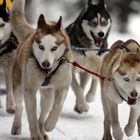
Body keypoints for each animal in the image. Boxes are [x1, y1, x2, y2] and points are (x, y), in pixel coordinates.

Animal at [10, 0, 71, 140]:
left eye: (54, 48)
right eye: (41, 46)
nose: (45, 64)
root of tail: (30, 33)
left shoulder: (63, 85)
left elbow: (58, 105)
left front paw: (50, 124)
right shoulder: (29, 89)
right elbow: (32, 115)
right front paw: (35, 134)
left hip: (48, 94)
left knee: (44, 111)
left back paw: (42, 128)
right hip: (19, 86)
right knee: (19, 105)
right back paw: (17, 126)